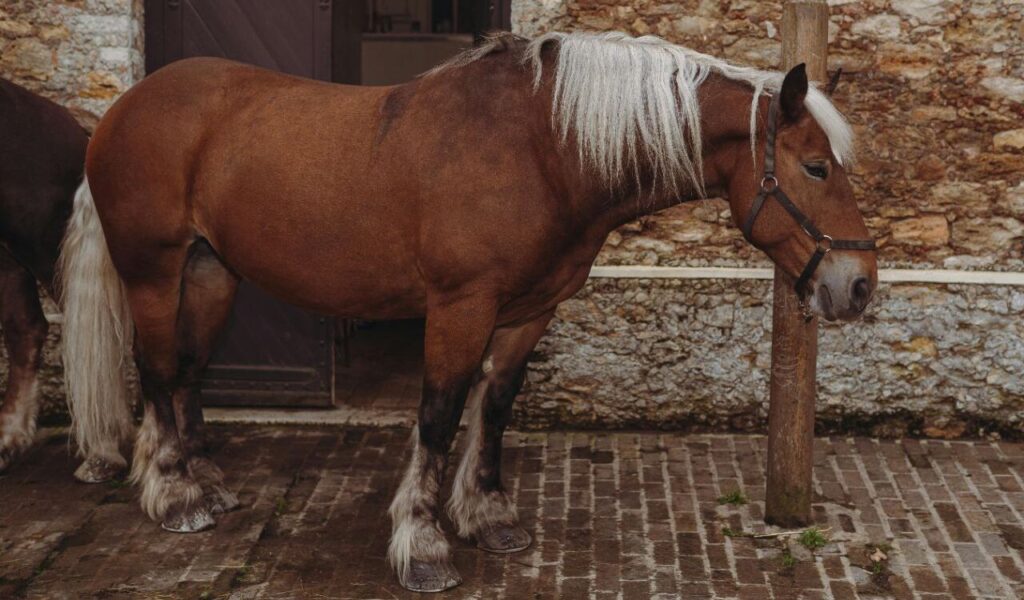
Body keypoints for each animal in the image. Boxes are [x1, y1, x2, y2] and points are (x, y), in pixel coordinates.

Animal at [59, 32, 877, 592]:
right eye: (814, 166)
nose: (861, 284)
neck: (543, 148)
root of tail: (124, 108)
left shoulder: (527, 311)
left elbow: (496, 406)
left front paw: (488, 515)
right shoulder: (460, 306)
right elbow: (440, 414)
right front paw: (422, 544)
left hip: (210, 273)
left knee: (186, 371)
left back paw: (203, 480)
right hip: (153, 270)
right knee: (156, 369)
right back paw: (175, 494)